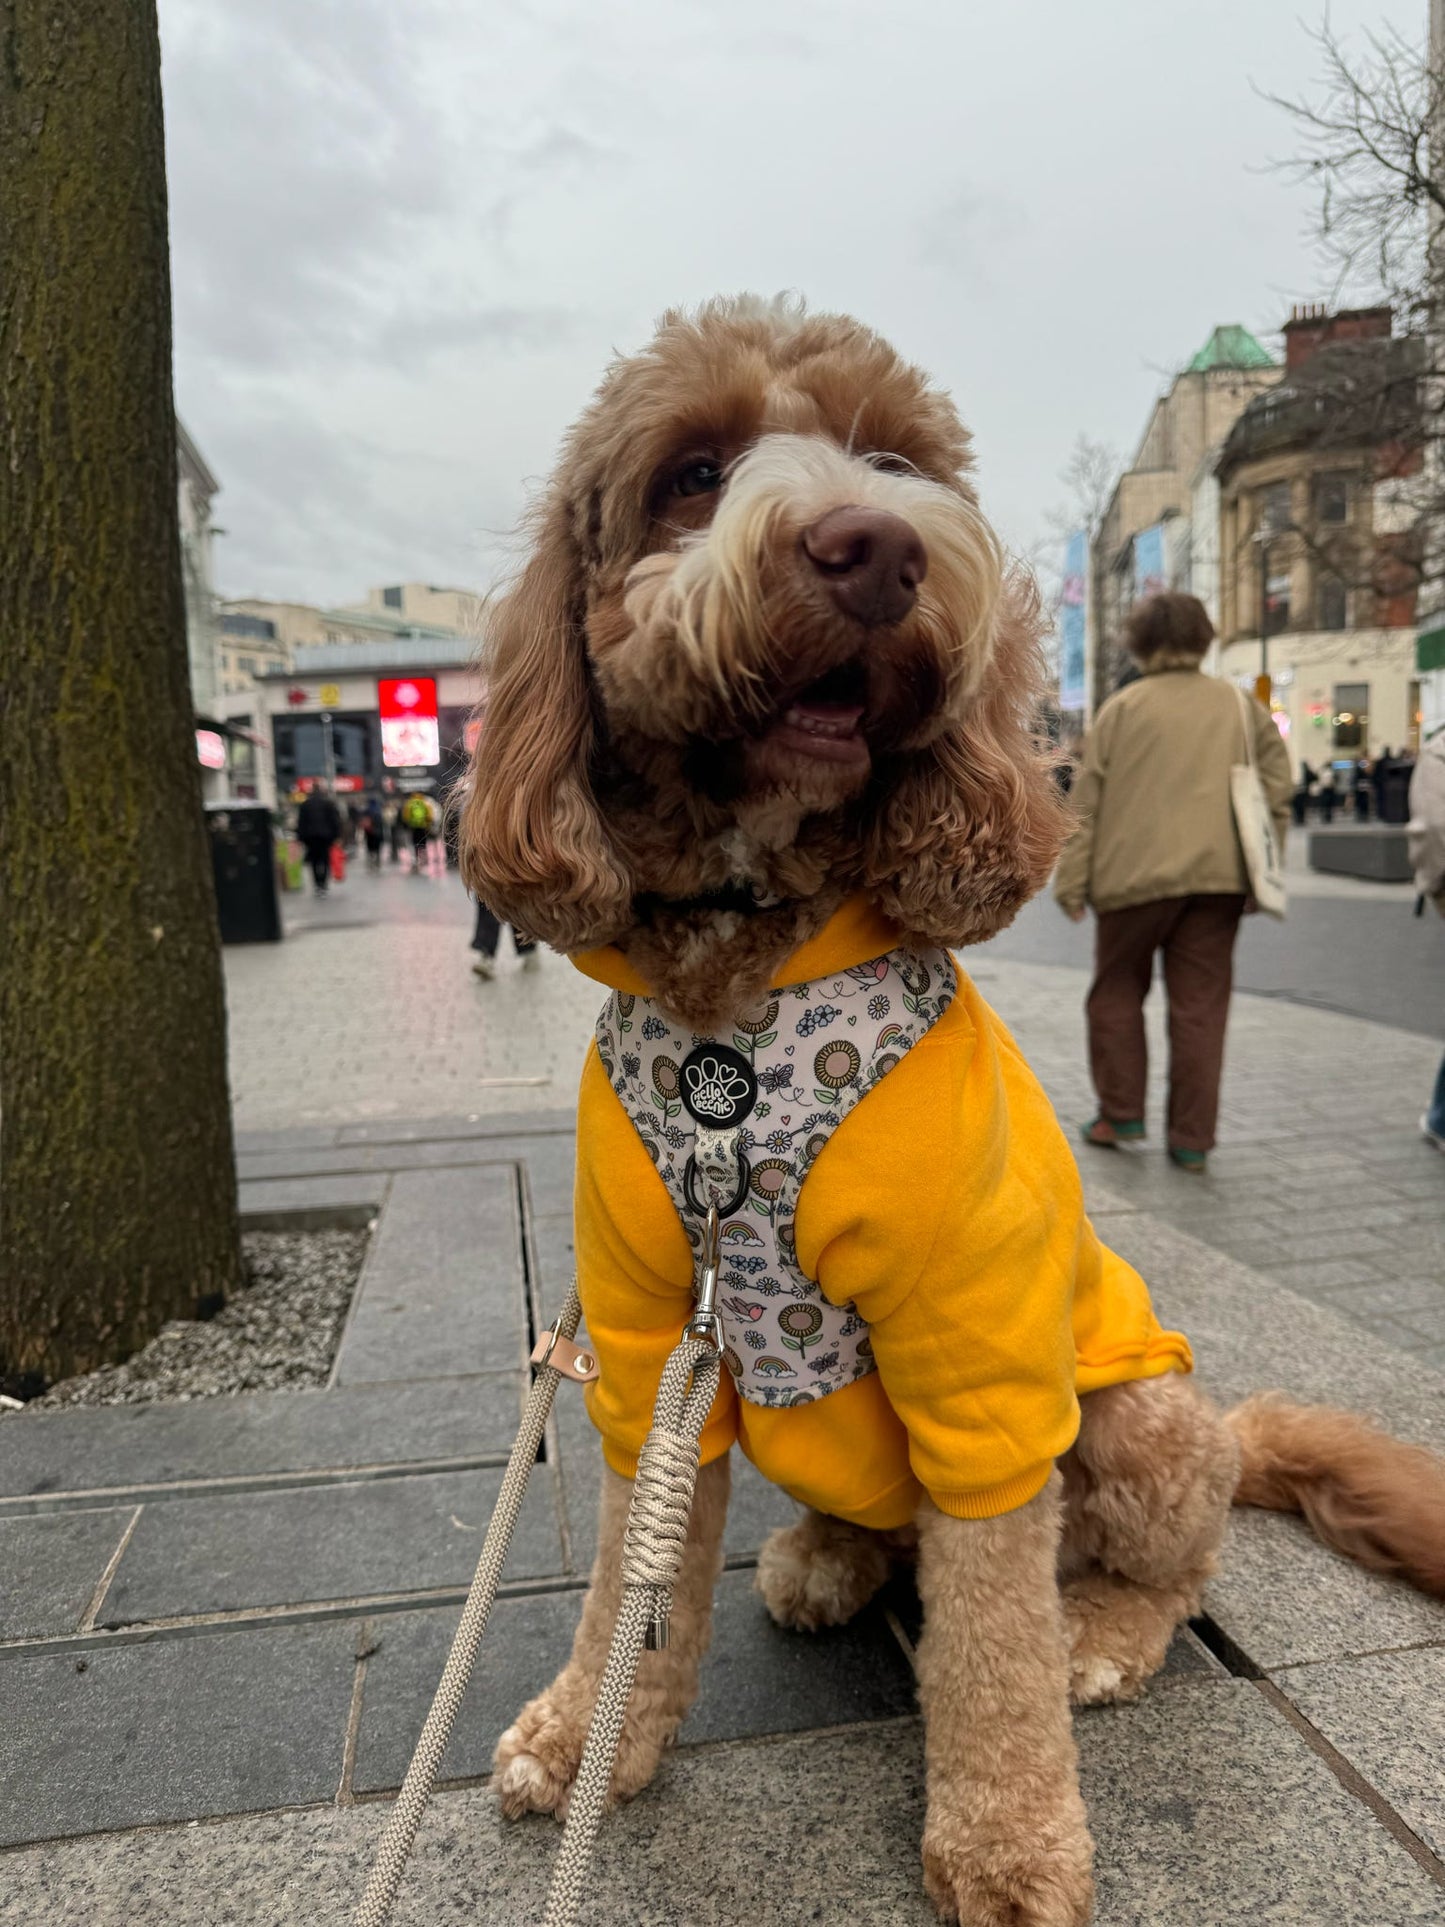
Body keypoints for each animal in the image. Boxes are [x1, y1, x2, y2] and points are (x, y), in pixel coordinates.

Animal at [460, 296, 1445, 1927]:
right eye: (692, 472)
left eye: (894, 458)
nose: (872, 546)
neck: (743, 1021)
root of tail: (1232, 1425)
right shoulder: (652, 1332)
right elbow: (628, 1576)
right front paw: (585, 1728)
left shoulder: (978, 1352)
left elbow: (989, 1640)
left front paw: (1007, 1840)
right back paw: (824, 1555)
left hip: (1138, 1420)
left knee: (1166, 1571)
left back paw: (1097, 1631)